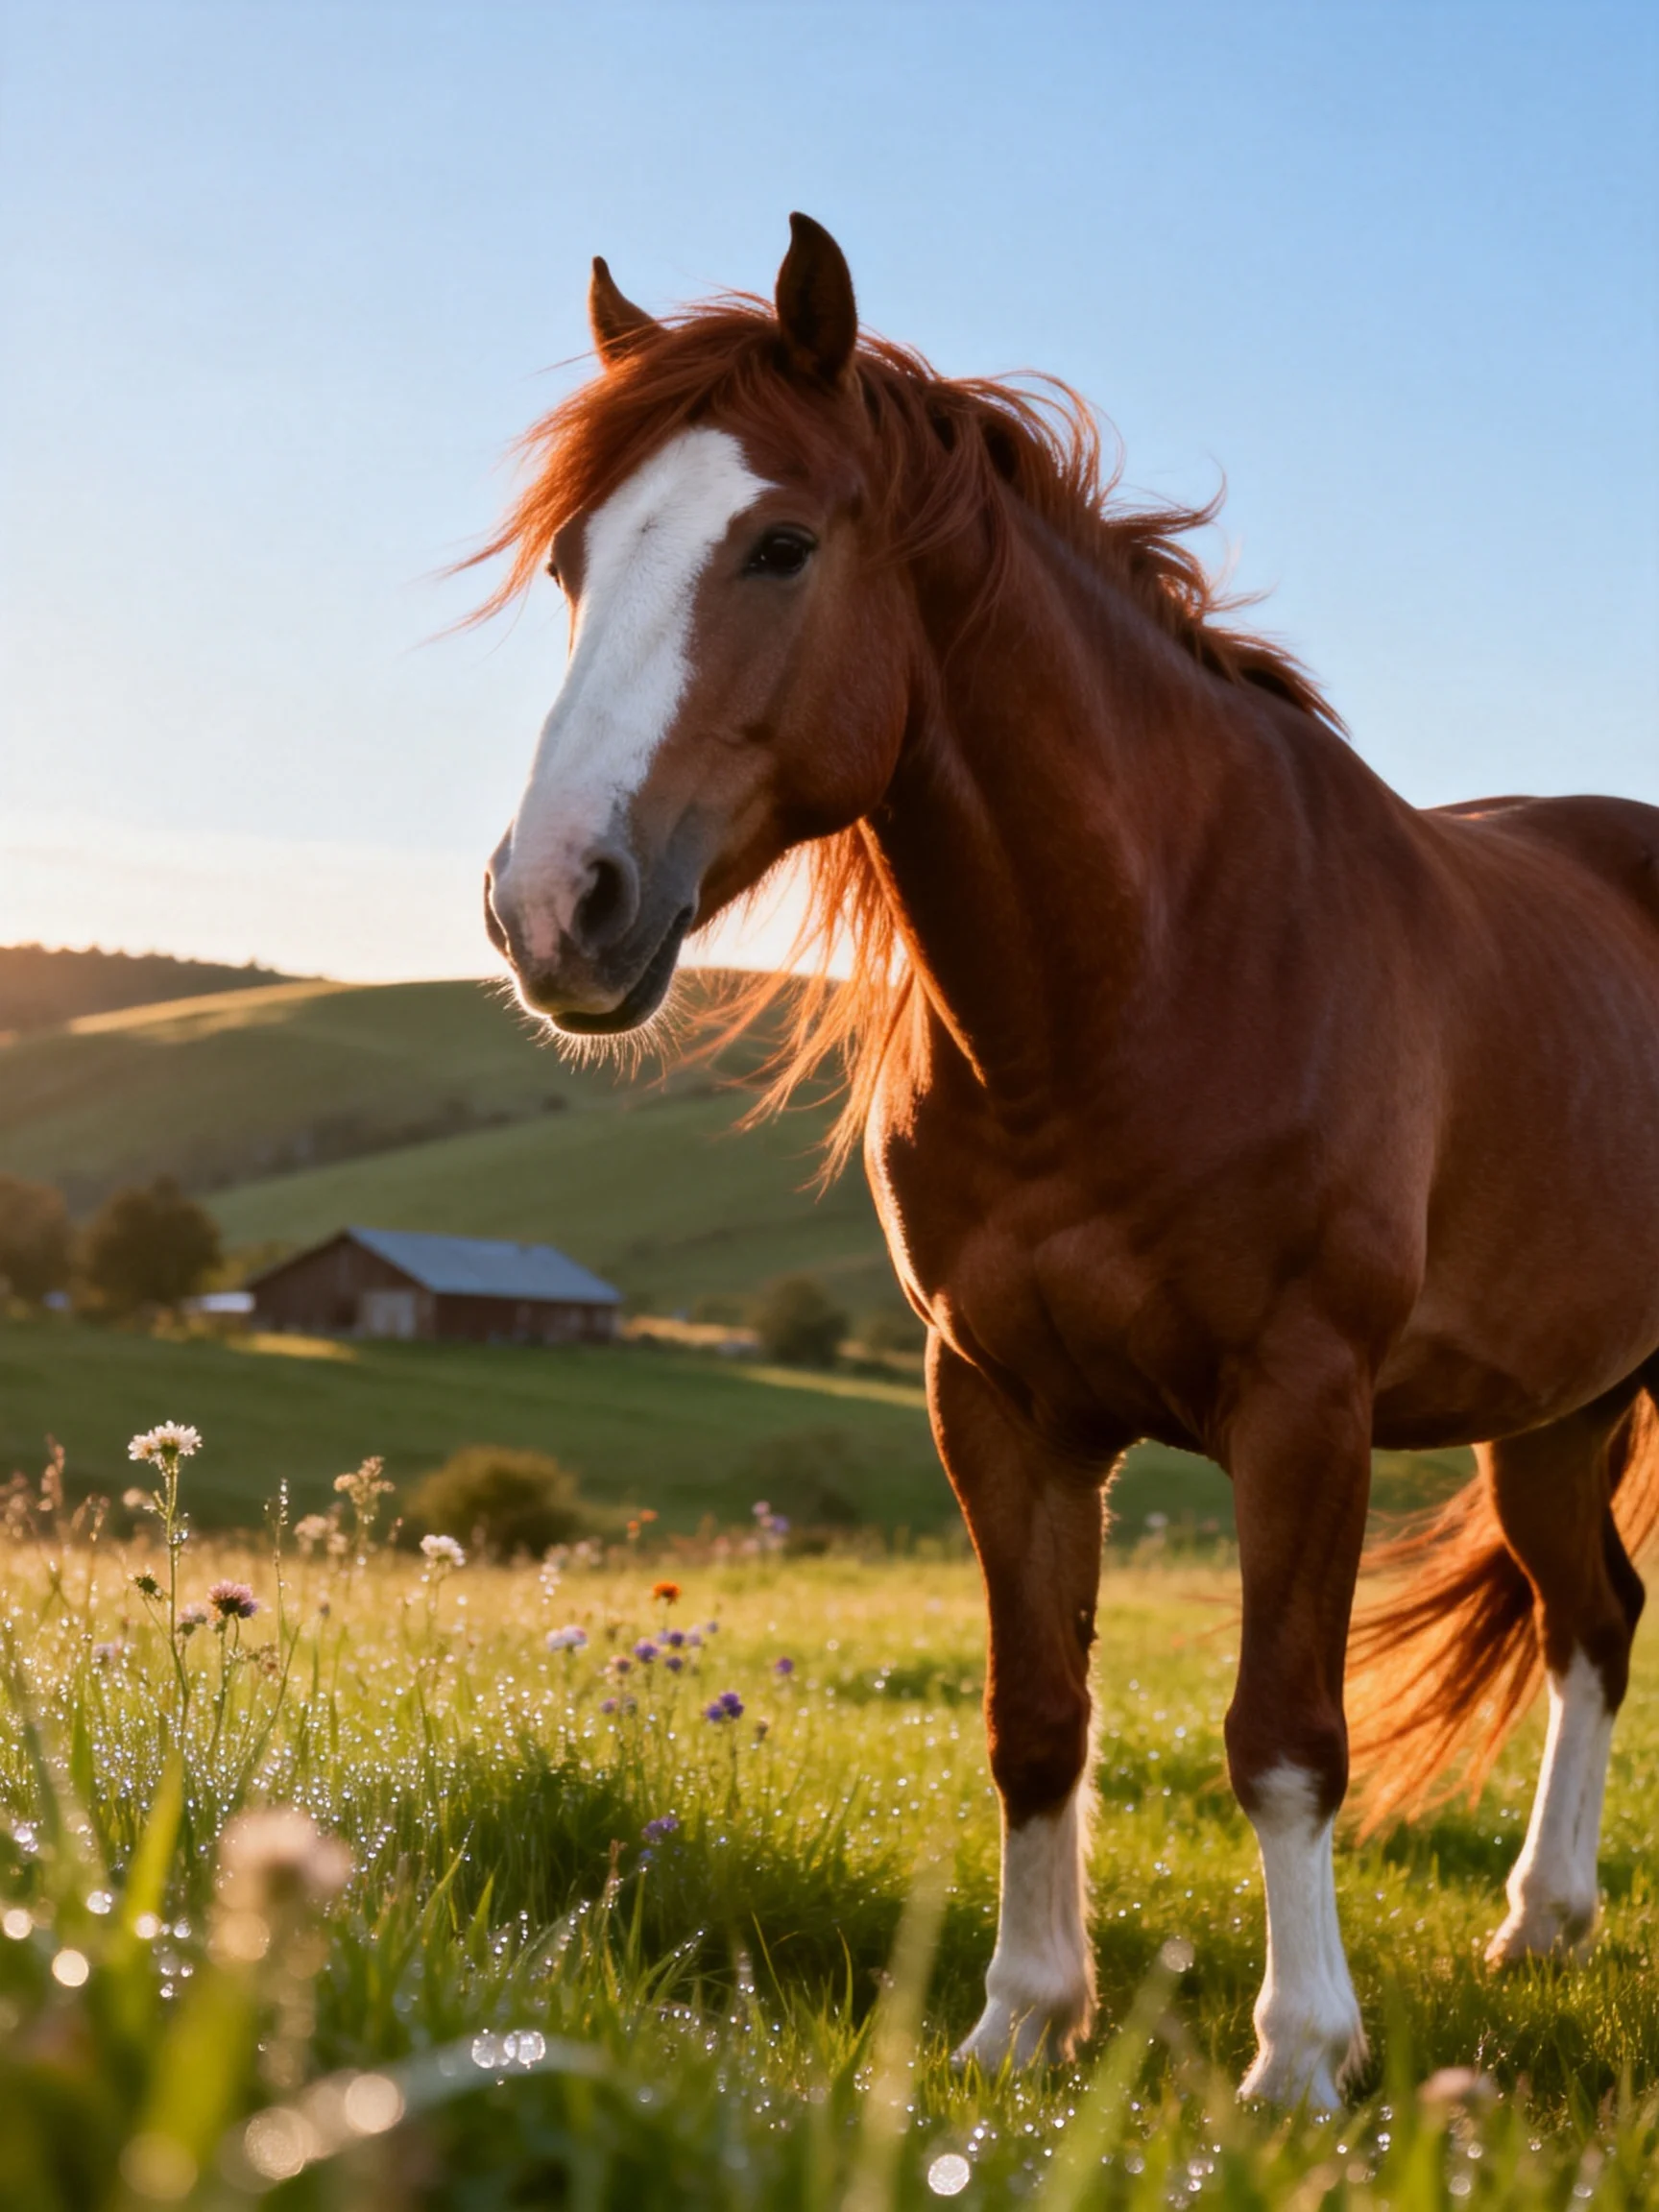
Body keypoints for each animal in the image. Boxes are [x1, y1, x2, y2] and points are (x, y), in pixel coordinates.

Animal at [475, 215, 1659, 2107]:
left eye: (781, 545)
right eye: (579, 561)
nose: (551, 904)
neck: (1143, 975)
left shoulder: (1302, 1401)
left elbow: (1282, 1732)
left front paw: (1300, 2056)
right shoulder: (998, 1399)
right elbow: (1035, 1718)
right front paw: (1021, 2020)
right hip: (1555, 1405)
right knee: (1590, 1615)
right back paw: (1540, 1924)